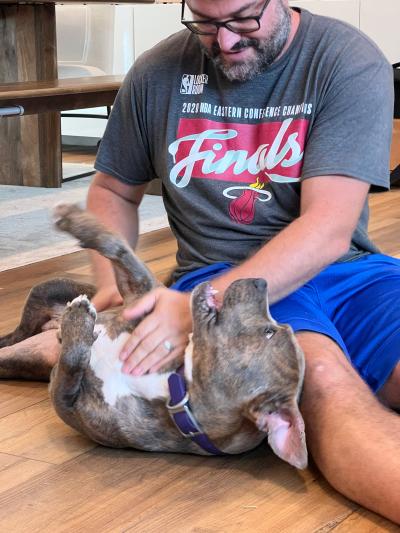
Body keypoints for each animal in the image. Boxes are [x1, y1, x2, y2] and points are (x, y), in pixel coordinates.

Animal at [0, 202, 306, 468]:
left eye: (269, 332)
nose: (261, 282)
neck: (175, 383)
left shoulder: (63, 400)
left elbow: (72, 361)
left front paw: (78, 321)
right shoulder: (142, 294)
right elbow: (118, 247)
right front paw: (77, 221)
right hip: (46, 291)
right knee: (15, 335)